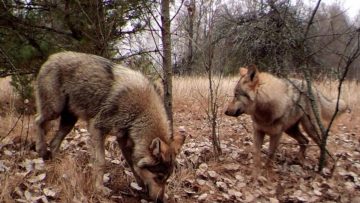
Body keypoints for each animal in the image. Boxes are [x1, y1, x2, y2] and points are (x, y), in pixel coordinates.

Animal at [34, 51, 184, 202]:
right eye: (159, 177)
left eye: (167, 179)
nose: (161, 200)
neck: (140, 114)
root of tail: (52, 57)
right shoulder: (96, 129)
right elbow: (101, 162)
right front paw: (99, 189)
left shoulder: (123, 139)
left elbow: (133, 164)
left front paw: (140, 183)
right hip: (55, 110)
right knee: (36, 121)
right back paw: (41, 149)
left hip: (69, 121)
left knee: (54, 142)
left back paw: (57, 162)